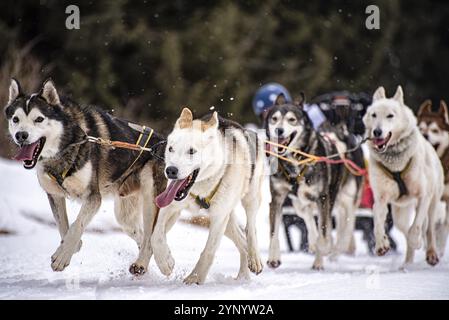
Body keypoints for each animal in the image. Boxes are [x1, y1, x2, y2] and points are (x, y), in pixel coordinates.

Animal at [364, 86, 444, 266]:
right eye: (374, 115)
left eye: (390, 115)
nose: (377, 131)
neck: (396, 163)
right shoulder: (380, 199)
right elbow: (377, 223)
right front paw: (381, 244)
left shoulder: (423, 196)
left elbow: (416, 227)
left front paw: (417, 241)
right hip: (399, 213)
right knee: (406, 230)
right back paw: (406, 263)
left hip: (433, 203)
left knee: (429, 229)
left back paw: (431, 253)